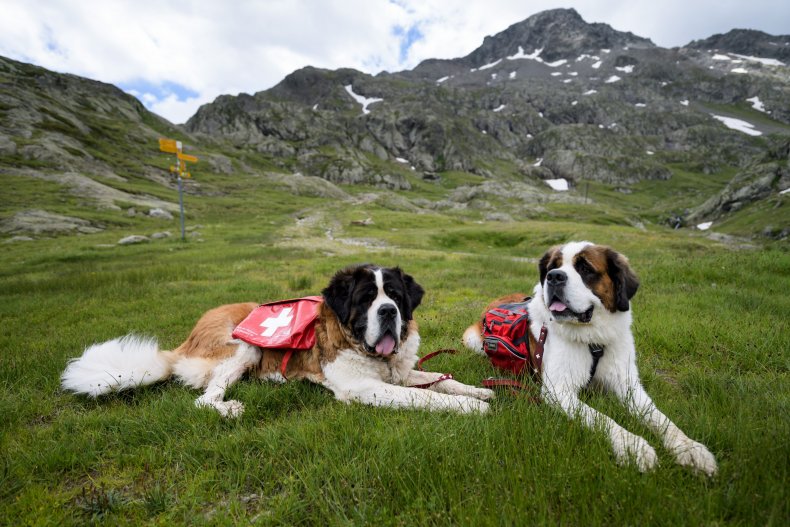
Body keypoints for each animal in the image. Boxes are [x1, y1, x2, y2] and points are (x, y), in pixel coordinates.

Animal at [62, 264, 496, 416]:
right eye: (366, 299)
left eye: (394, 295)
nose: (388, 312)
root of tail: (186, 341)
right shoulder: (361, 386)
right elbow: (422, 396)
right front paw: (471, 409)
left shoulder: (400, 372)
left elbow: (439, 379)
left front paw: (479, 391)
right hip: (244, 343)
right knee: (204, 399)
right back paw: (229, 408)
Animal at [460, 241, 720, 476]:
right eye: (553, 266)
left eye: (585, 268)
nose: (554, 277)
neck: (594, 339)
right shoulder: (559, 391)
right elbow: (601, 417)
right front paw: (632, 445)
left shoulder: (628, 385)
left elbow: (659, 417)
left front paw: (690, 448)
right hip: (472, 340)